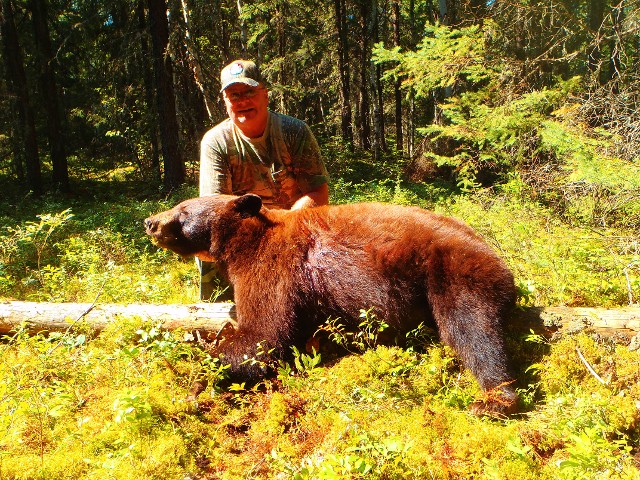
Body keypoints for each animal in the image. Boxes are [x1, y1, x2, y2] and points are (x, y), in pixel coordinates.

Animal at [145, 193, 520, 414]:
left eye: (183, 210)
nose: (150, 222)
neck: (247, 238)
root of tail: (494, 254)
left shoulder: (275, 267)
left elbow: (264, 336)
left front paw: (196, 378)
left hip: (451, 271)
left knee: (474, 331)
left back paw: (494, 399)